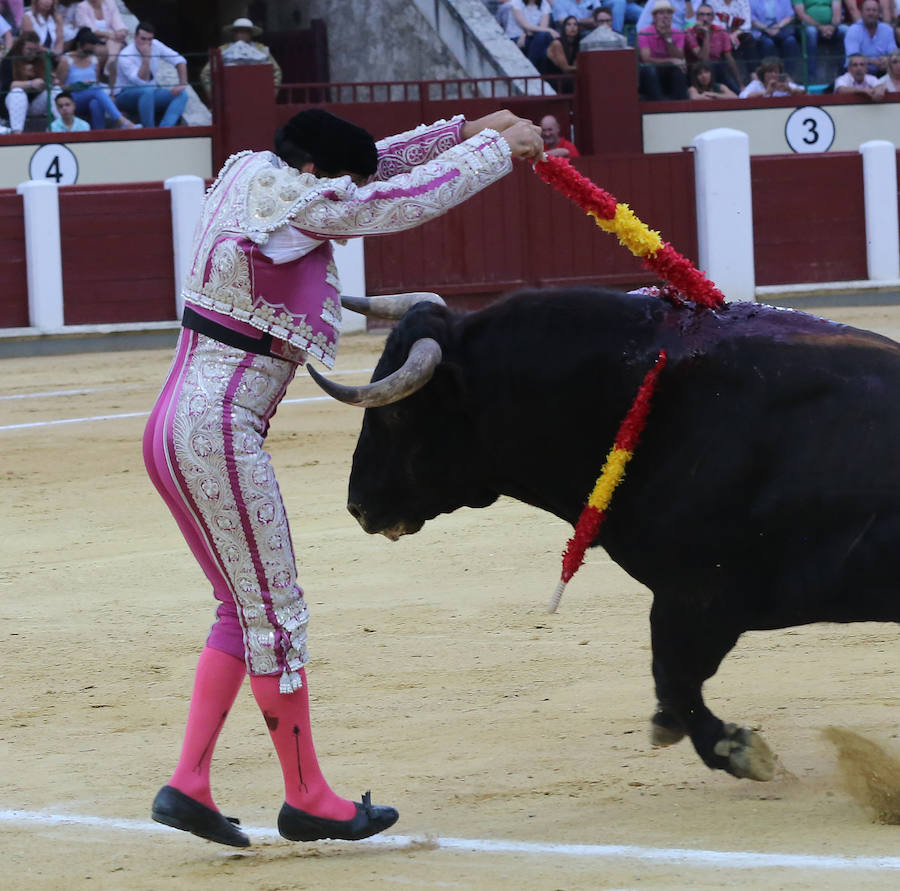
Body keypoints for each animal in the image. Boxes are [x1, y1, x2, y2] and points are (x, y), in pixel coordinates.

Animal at [310, 290, 900, 784]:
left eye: (399, 413)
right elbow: (674, 682)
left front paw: (738, 750)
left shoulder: (697, 596)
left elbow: (674, 677)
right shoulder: (694, 602)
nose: (358, 505)